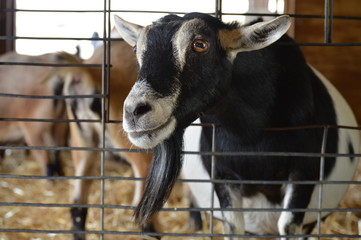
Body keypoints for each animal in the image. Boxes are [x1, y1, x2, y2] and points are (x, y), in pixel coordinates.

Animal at [114, 13, 358, 240]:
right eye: (136, 49)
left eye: (200, 44)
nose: (134, 111)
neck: (251, 137)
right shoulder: (222, 174)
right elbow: (234, 227)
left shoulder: (305, 170)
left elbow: (288, 225)